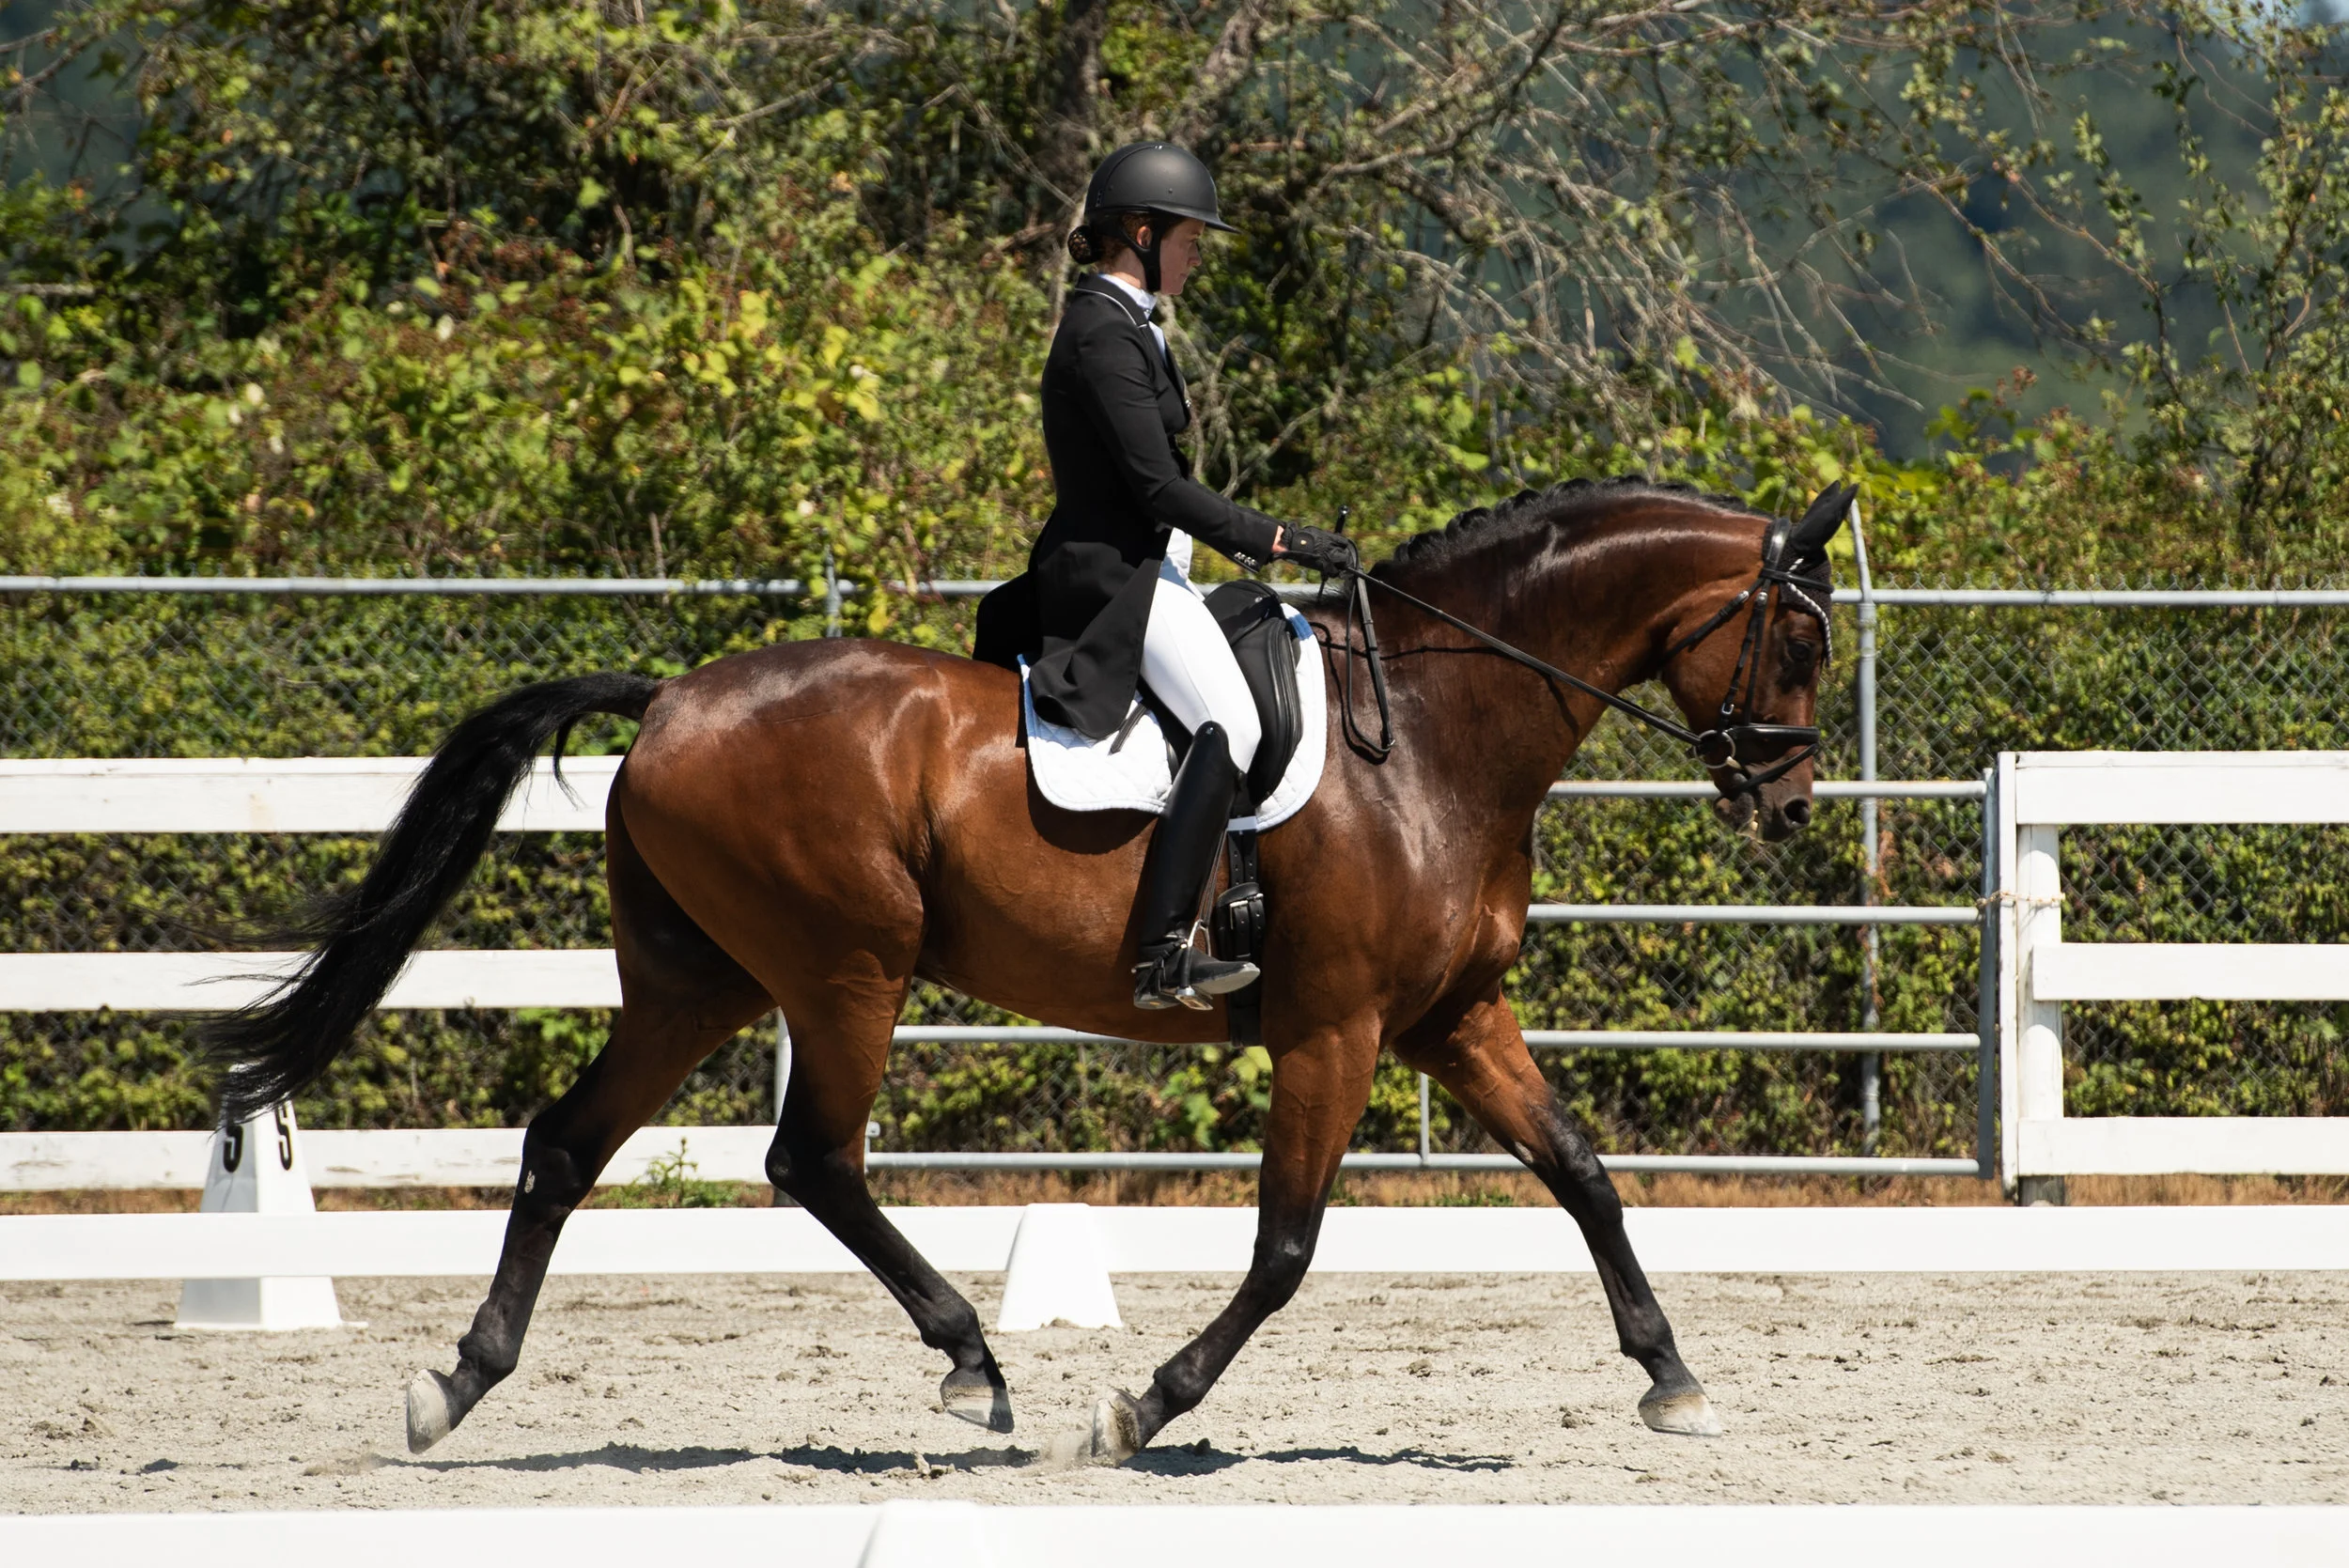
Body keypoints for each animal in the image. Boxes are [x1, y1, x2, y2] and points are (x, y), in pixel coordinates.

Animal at [206, 474, 1848, 1461]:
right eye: (1800, 648)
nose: (1788, 804)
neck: (1435, 737)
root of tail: (672, 696)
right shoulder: (1335, 1029)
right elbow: (1288, 1246)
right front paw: (1141, 1406)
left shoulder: (1453, 1017)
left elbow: (1584, 1173)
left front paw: (1673, 1378)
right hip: (846, 969)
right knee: (811, 1158)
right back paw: (974, 1365)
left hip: (701, 980)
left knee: (566, 1145)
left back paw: (455, 1383)